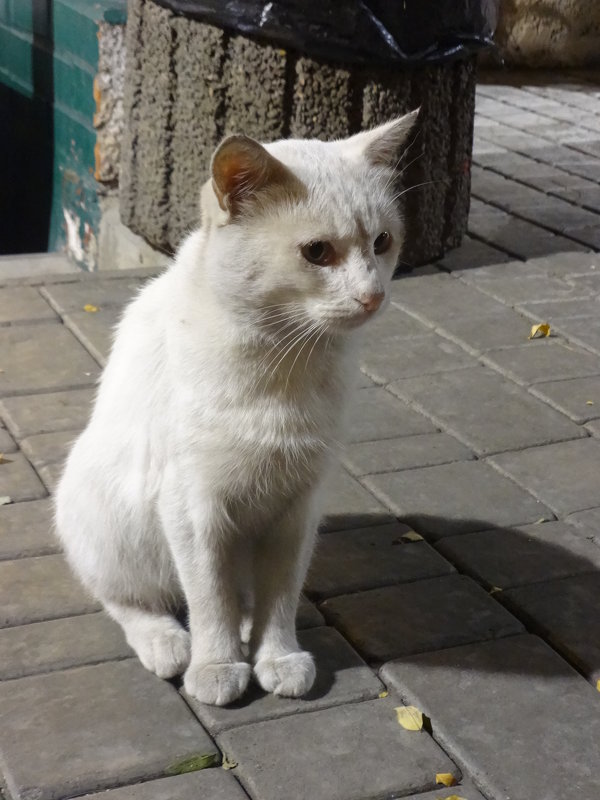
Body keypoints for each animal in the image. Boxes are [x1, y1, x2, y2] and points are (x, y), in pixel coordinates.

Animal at [55, 109, 418, 704]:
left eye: (383, 241)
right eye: (317, 252)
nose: (373, 296)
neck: (283, 362)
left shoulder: (299, 506)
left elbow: (280, 595)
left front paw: (278, 657)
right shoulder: (192, 508)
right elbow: (209, 598)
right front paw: (218, 665)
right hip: (111, 522)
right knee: (129, 598)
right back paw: (167, 642)